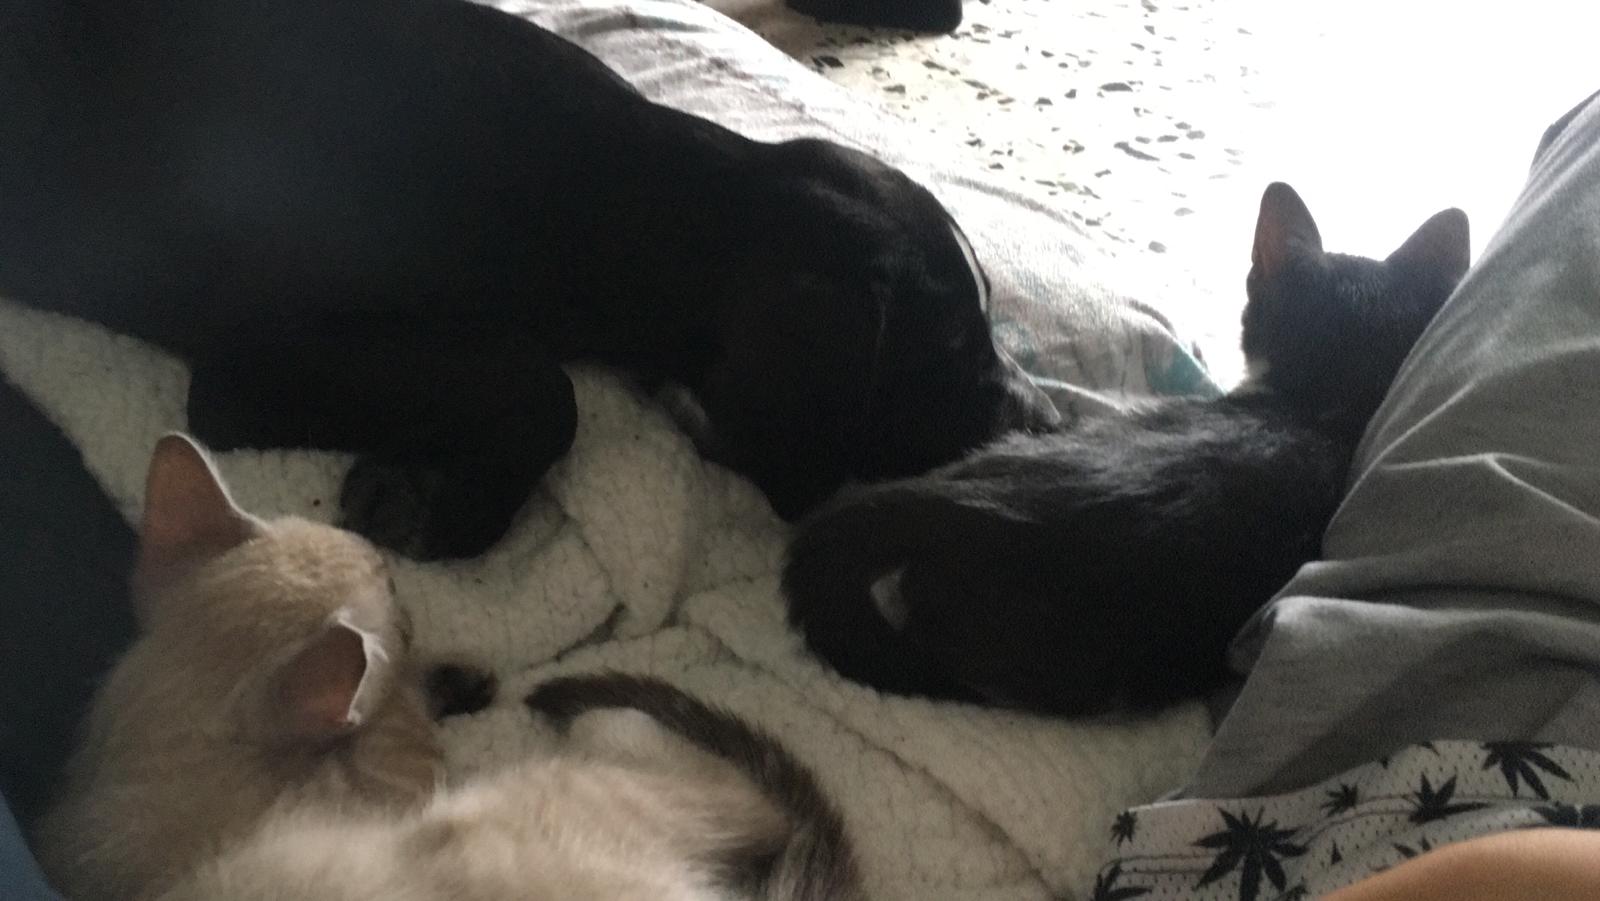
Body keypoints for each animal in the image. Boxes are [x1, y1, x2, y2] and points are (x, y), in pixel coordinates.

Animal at [34, 434, 862, 901]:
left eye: (388, 573)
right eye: (395, 599)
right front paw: (451, 678)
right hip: (539, 802)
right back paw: (599, 720)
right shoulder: (404, 777)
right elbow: (410, 713)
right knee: (740, 797)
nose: (407, 602)